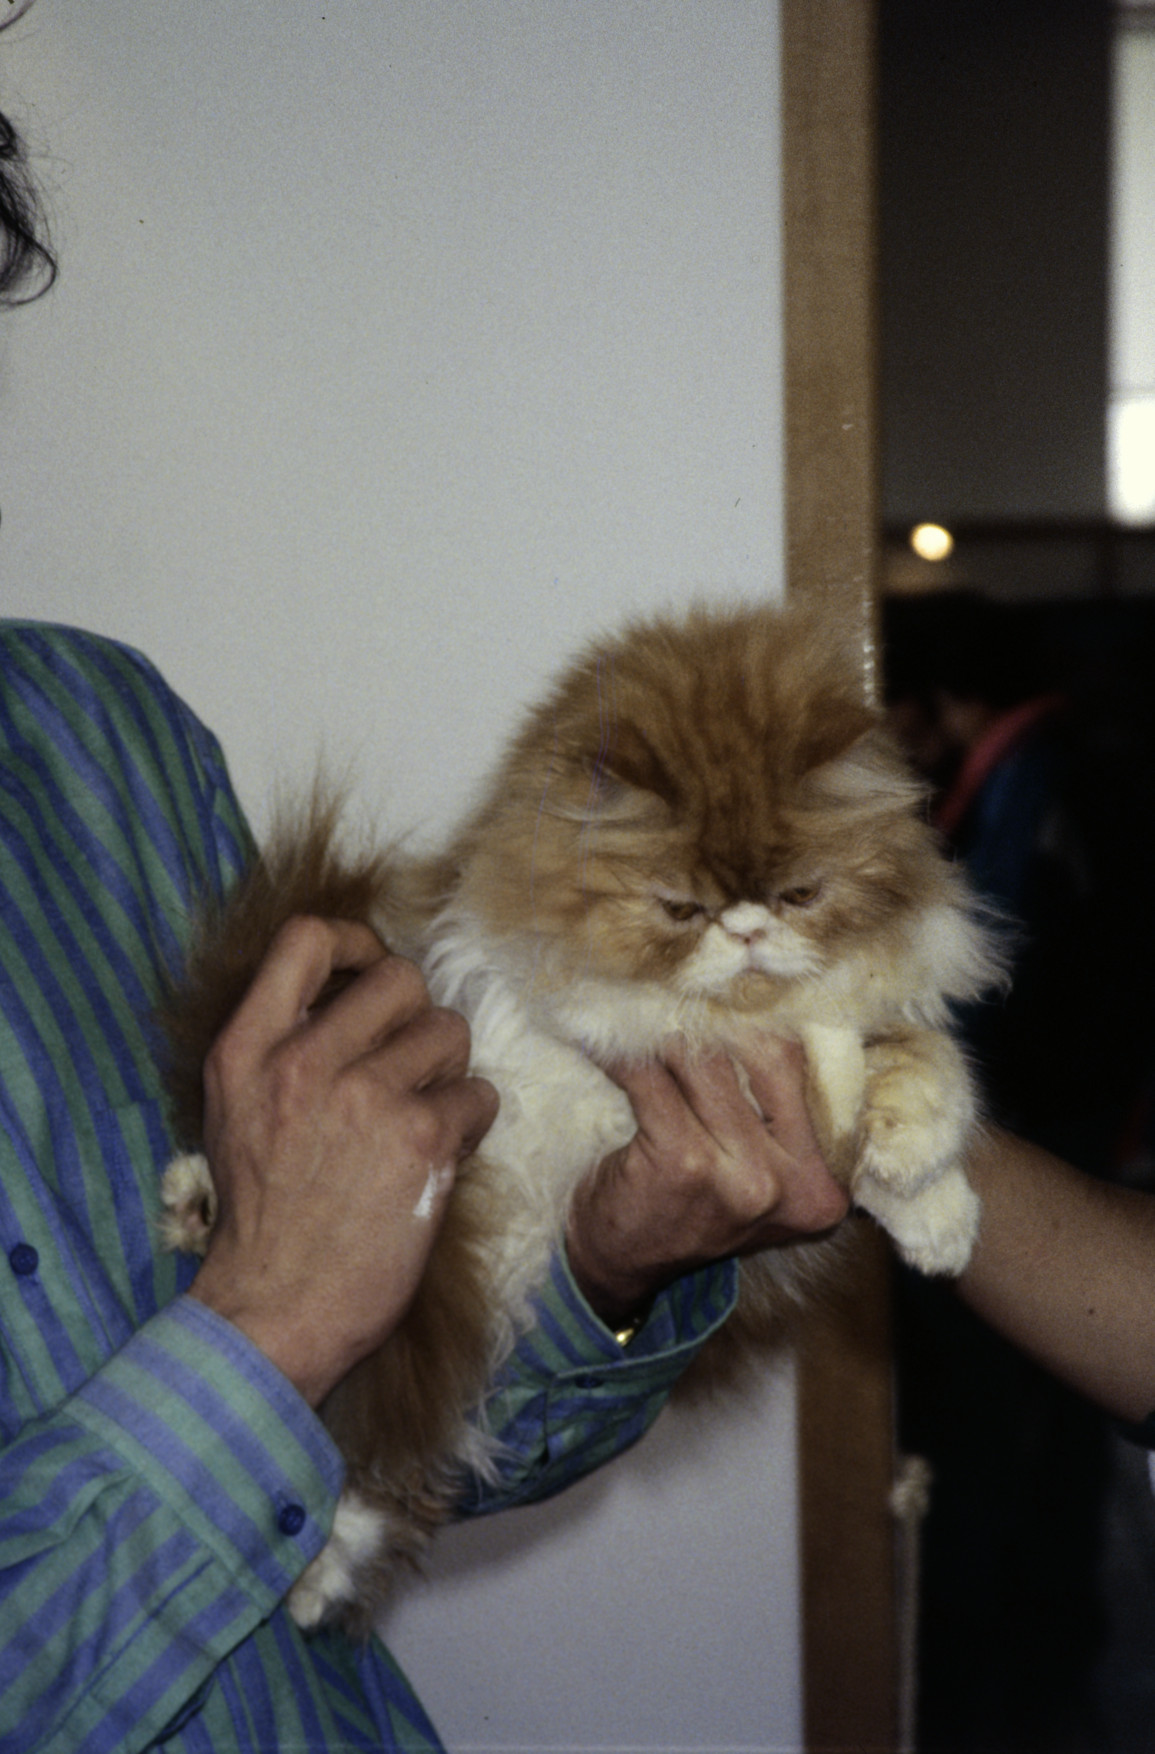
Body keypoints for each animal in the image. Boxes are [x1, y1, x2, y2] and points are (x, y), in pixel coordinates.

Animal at [158, 598, 1002, 1635]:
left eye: (800, 893)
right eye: (680, 908)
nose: (747, 927)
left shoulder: (851, 1024)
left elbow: (916, 1070)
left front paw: (933, 1212)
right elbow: (824, 1066)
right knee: (340, 1443)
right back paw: (308, 1570)